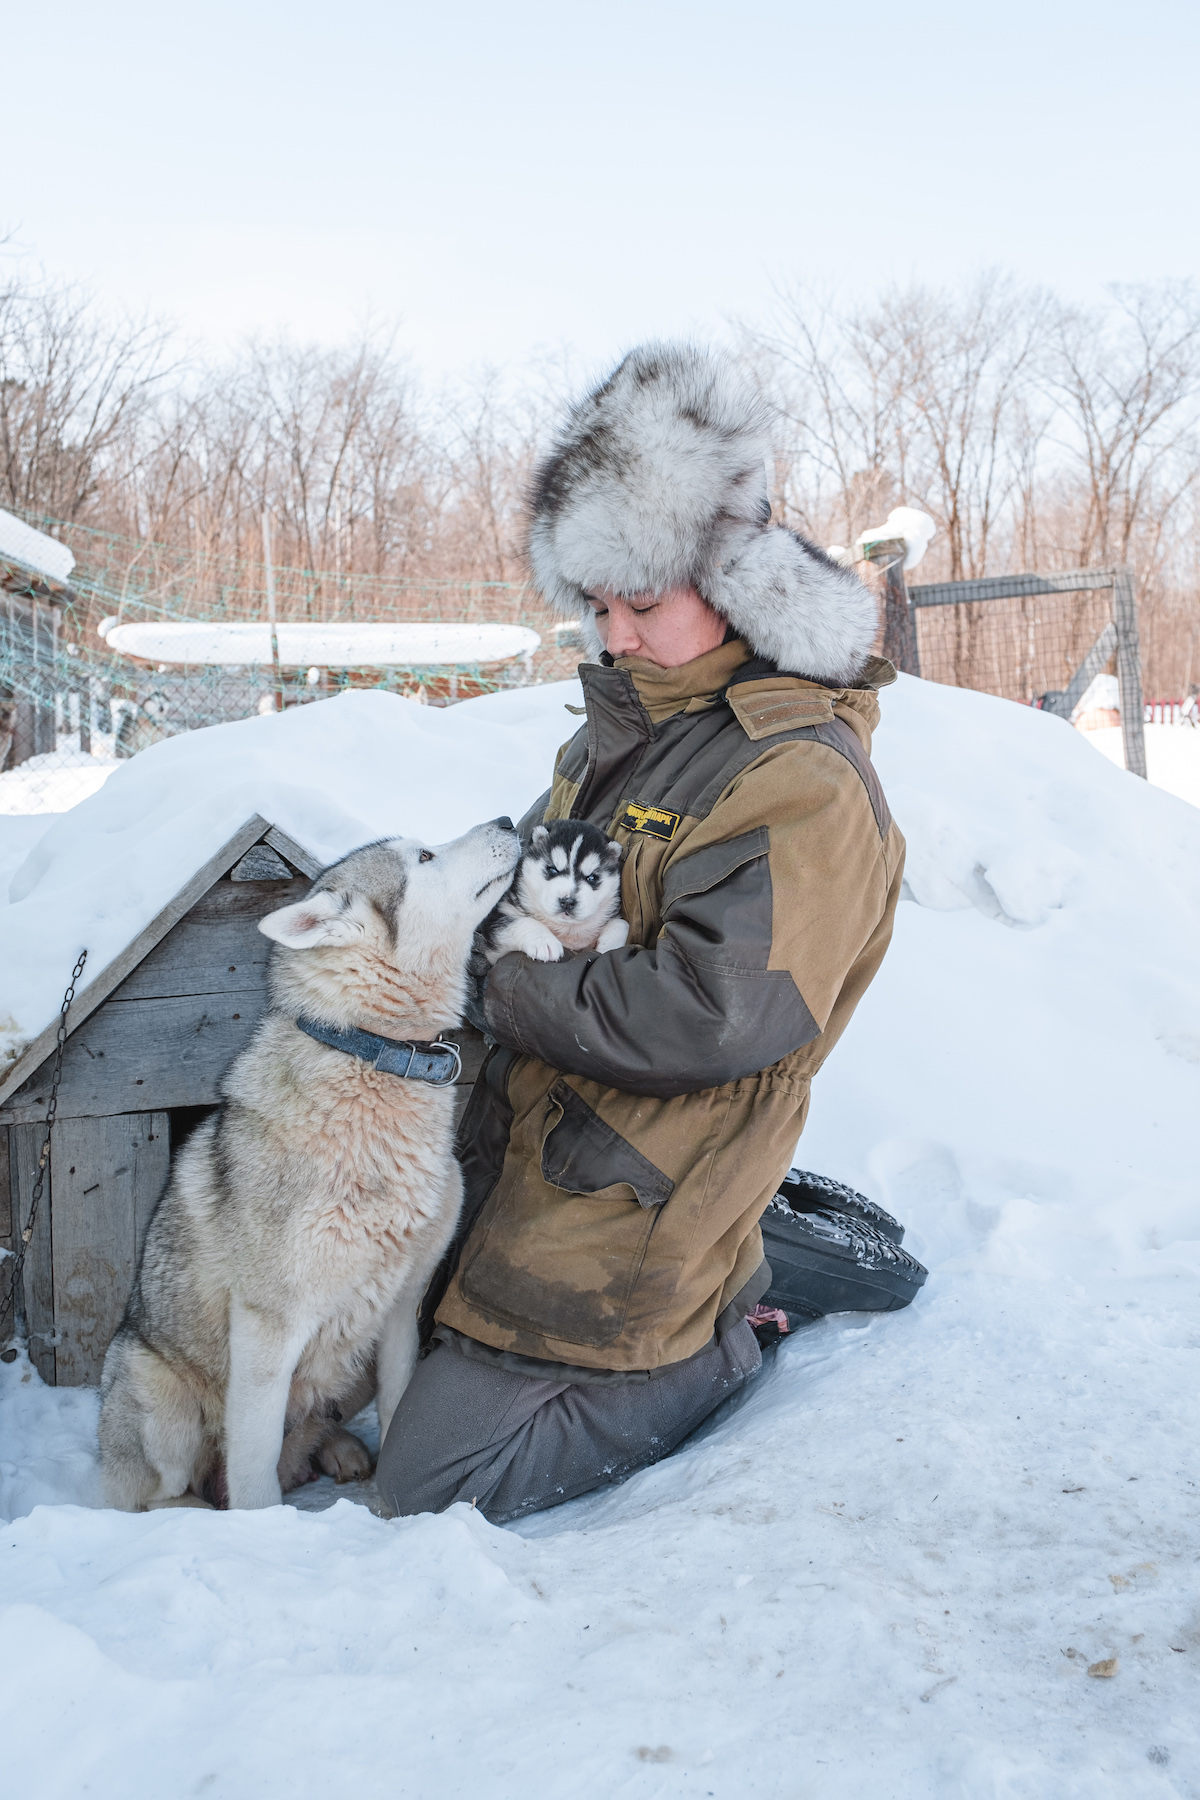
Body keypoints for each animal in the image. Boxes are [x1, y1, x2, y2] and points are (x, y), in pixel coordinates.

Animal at [99, 817, 521, 1504]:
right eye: (425, 857)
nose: (509, 821)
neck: (375, 1056)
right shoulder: (270, 1328)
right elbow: (254, 1469)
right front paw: (266, 1524)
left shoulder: (401, 1310)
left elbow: (399, 1411)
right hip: (160, 1401)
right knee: (163, 1491)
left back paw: (339, 1451)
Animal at [478, 820, 629, 964]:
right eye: (553, 869)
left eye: (591, 878)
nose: (567, 902)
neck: (566, 929)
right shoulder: (494, 929)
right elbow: (519, 922)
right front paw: (543, 941)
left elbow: (622, 924)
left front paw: (608, 946)